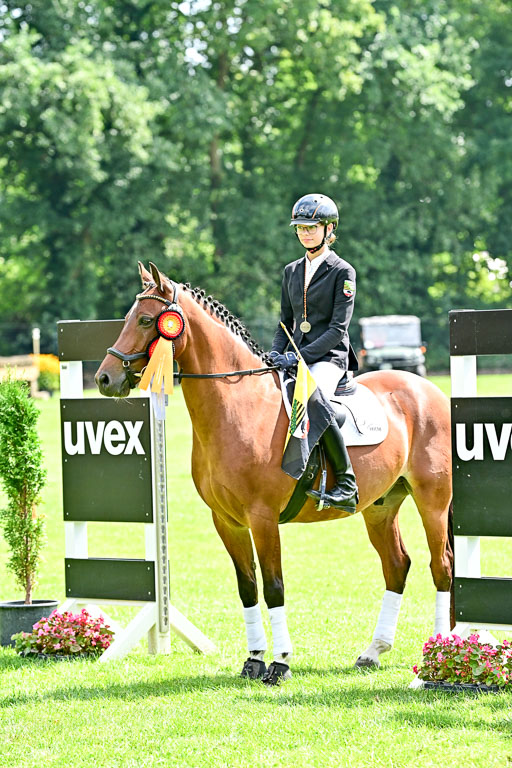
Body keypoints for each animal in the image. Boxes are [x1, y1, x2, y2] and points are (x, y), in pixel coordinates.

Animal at [95, 262, 453, 684]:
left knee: (441, 567)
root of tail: (428, 389)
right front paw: (253, 660)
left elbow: (274, 587)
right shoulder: (227, 521)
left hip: (432, 502)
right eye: (129, 318)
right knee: (397, 565)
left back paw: (438, 657)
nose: (104, 379)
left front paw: (280, 663)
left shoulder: (262, 517)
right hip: (380, 507)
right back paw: (373, 651)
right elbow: (248, 588)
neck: (236, 407)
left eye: (148, 320)